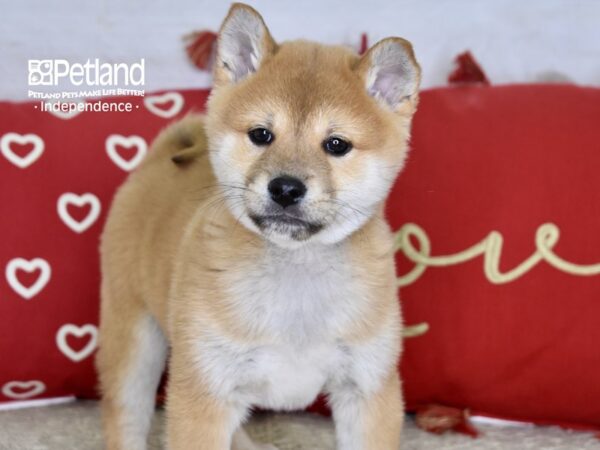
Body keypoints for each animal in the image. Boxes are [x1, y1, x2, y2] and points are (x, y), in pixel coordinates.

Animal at [96, 1, 420, 448]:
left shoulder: (368, 388)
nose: (285, 188)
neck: (296, 274)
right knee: (125, 418)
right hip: (135, 340)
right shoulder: (204, 391)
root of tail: (159, 156)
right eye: (262, 135)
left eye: (337, 144)